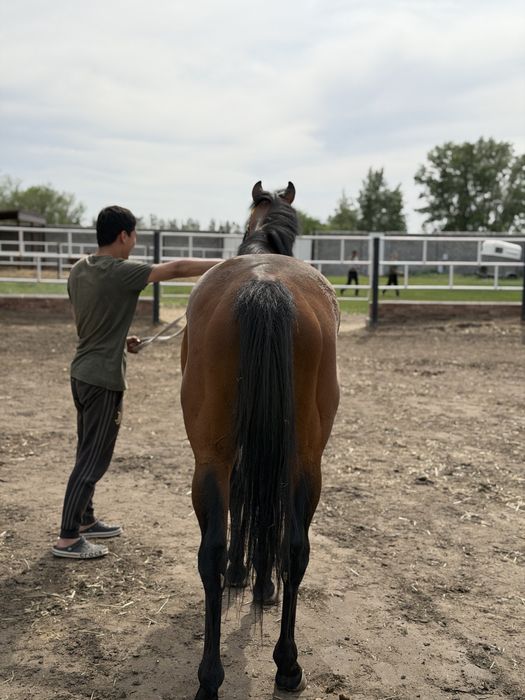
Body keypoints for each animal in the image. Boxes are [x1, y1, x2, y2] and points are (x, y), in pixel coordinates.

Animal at [180, 181, 340, 700]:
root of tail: (265, 284)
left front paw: (248, 577)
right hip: (305, 461)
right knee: (293, 547)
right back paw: (284, 665)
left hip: (212, 458)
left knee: (215, 550)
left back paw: (215, 676)